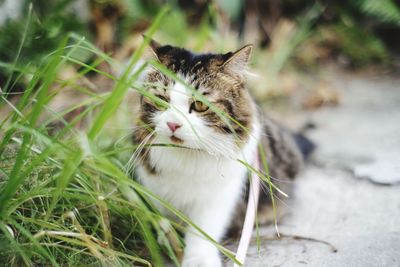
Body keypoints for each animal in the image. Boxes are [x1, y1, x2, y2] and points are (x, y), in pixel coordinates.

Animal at [131, 38, 312, 267]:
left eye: (200, 105)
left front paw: (198, 259)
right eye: (161, 99)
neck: (187, 156)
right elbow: (163, 220)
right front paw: (168, 242)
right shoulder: (155, 188)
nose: (173, 124)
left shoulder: (219, 196)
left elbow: (202, 232)